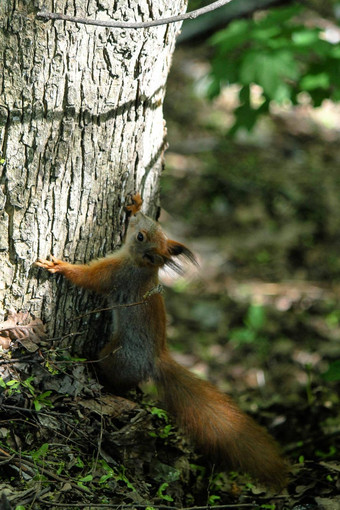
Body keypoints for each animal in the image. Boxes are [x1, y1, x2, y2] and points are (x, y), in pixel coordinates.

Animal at [35, 193, 288, 488]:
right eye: (154, 228)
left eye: (141, 237)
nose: (136, 218)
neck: (144, 266)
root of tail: (155, 360)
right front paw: (135, 203)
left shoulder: (116, 276)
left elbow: (88, 278)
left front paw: (59, 266)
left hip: (116, 357)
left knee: (115, 379)